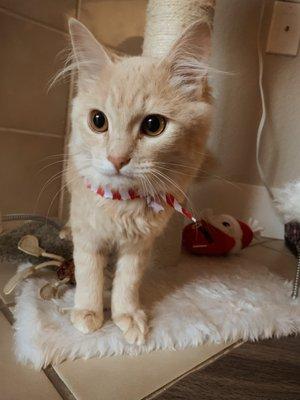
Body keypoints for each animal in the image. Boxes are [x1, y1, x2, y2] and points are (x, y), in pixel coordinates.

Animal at [64, 17, 212, 346]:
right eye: (98, 121)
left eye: (153, 125)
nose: (117, 159)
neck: (123, 203)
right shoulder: (88, 233)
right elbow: (88, 273)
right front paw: (88, 312)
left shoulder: (140, 244)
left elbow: (128, 282)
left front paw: (127, 316)